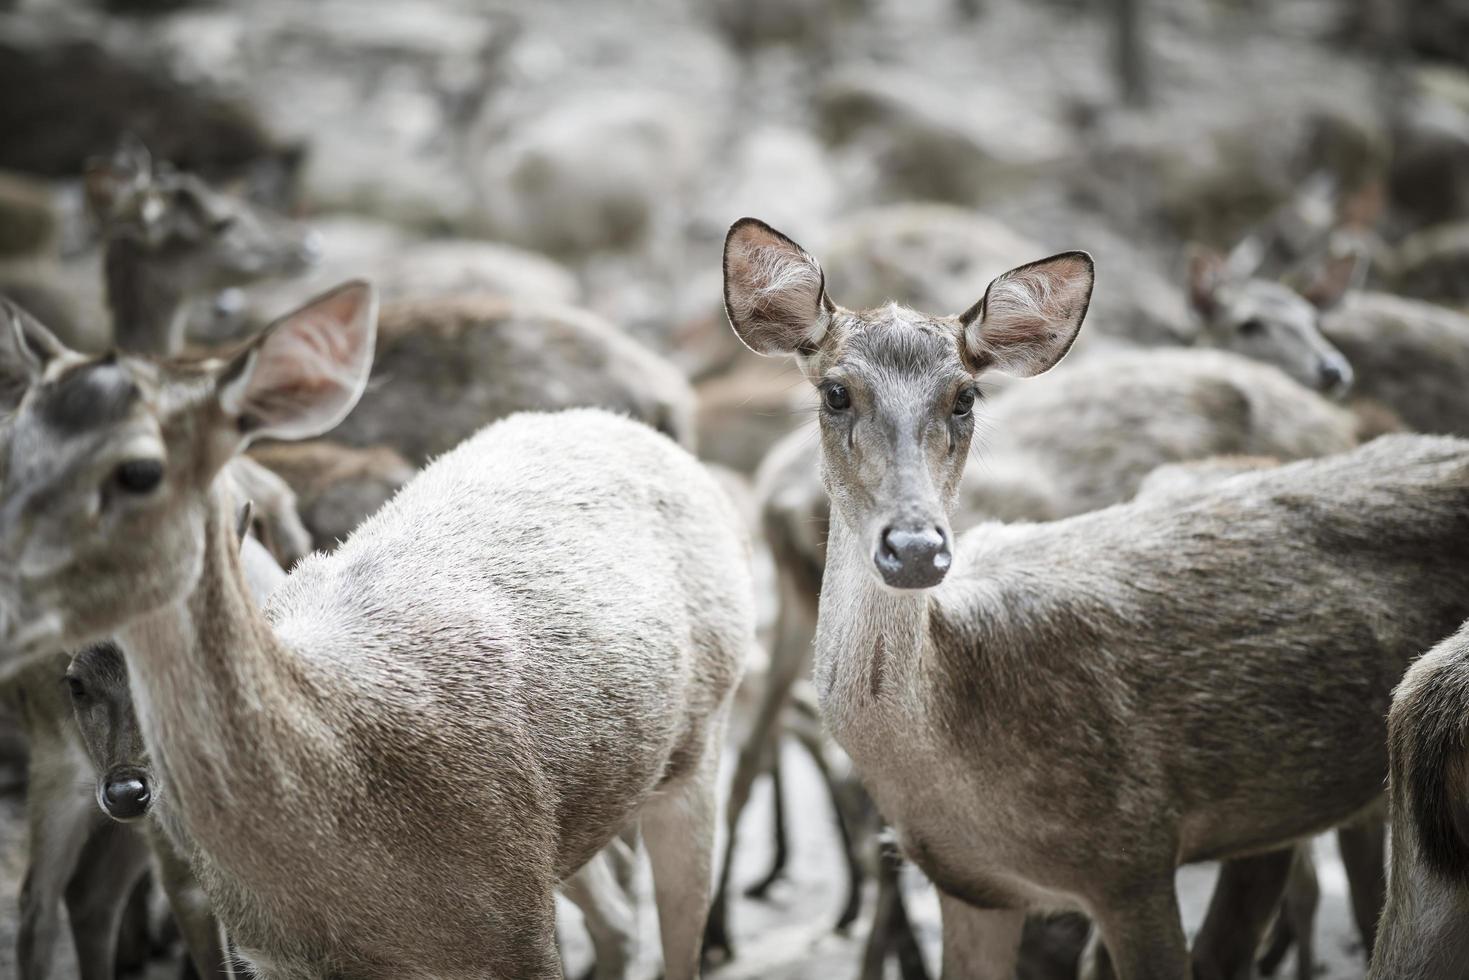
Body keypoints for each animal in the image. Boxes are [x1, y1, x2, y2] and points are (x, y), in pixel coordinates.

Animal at [0, 283, 758, 980]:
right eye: (12, 447)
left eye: (139, 469)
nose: (128, 791)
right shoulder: (268, 956)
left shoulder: (515, 922)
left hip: (698, 742)